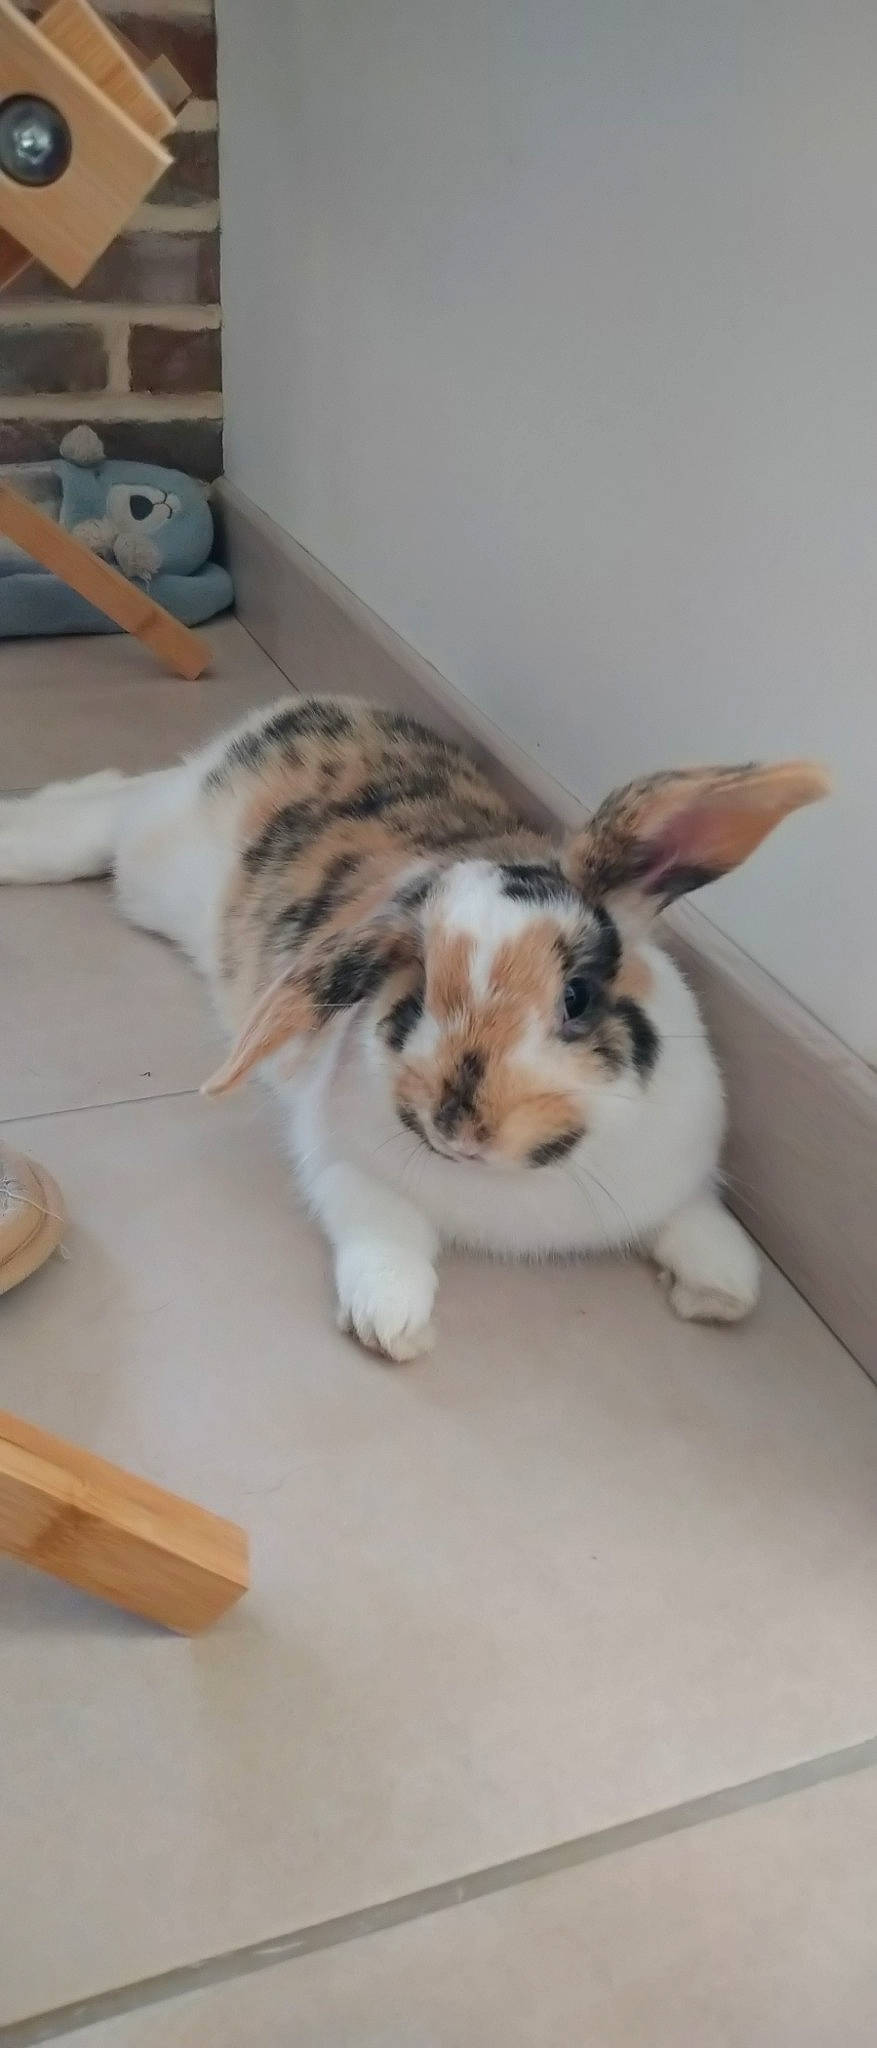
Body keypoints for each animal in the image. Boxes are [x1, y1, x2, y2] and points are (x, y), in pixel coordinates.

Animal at [0, 696, 828, 1361]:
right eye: (417, 993)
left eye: (578, 997)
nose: (459, 1127)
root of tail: (311, 707)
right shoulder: (345, 1172)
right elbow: (386, 1241)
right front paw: (393, 1326)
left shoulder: (680, 1178)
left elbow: (705, 1230)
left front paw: (717, 1292)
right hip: (152, 861)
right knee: (112, 810)